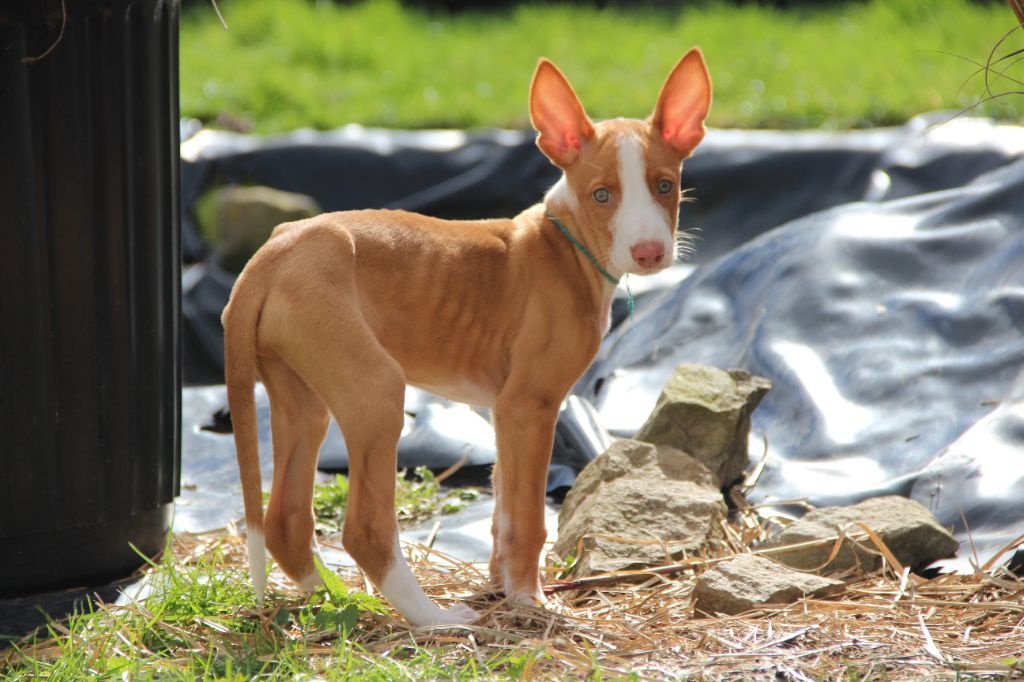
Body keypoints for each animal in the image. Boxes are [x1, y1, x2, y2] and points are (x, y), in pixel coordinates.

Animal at [224, 50, 712, 622]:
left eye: (665, 185)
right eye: (602, 195)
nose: (650, 252)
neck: (564, 245)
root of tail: (272, 252)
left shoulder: (501, 412)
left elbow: (502, 513)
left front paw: (504, 588)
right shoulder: (529, 406)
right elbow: (528, 519)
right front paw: (531, 601)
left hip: (302, 394)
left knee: (286, 519)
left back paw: (335, 597)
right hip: (375, 389)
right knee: (365, 528)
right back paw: (435, 619)